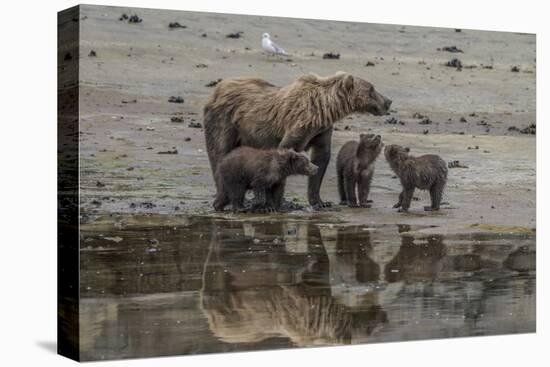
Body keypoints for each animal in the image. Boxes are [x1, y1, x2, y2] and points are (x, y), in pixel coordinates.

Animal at [205, 72, 394, 210]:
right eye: (371, 89)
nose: (388, 101)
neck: (324, 109)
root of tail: (217, 89)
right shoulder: (299, 125)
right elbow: (286, 153)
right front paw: (274, 203)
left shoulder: (321, 131)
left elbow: (321, 159)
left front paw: (320, 202)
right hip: (224, 121)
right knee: (219, 154)